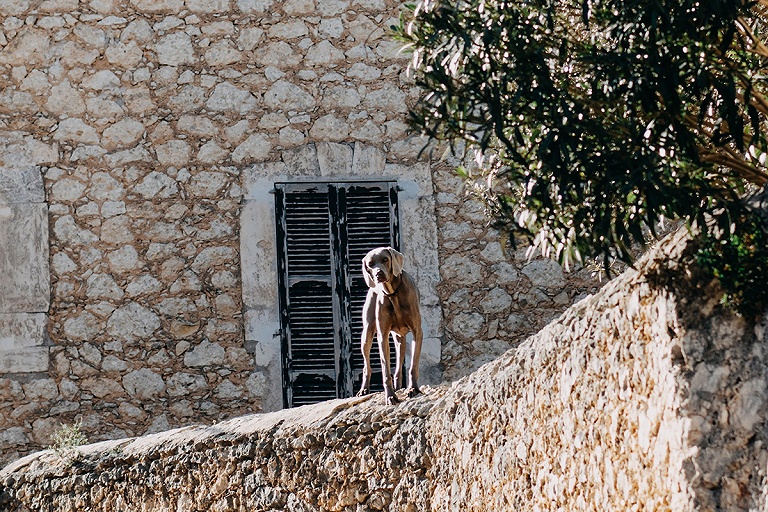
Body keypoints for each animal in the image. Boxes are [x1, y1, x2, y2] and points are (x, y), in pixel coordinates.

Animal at [356, 246, 424, 406]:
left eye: (385, 259)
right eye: (370, 264)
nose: (378, 273)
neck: (393, 293)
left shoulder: (417, 332)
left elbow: (413, 366)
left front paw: (413, 389)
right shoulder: (383, 336)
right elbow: (385, 371)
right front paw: (390, 396)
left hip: (400, 339)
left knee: (399, 366)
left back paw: (400, 387)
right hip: (367, 333)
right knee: (367, 365)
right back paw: (364, 390)